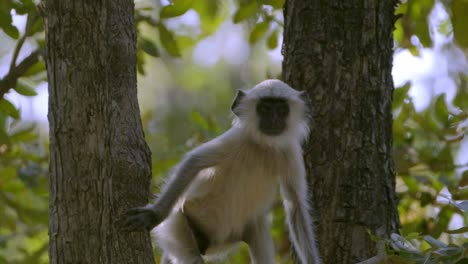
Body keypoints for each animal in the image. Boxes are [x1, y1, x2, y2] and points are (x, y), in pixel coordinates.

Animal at [124, 79, 322, 262]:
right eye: (264, 109)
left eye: (281, 110)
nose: (273, 120)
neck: (264, 147)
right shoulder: (236, 138)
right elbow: (194, 161)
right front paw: (154, 215)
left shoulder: (291, 152)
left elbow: (295, 205)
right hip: (178, 223)